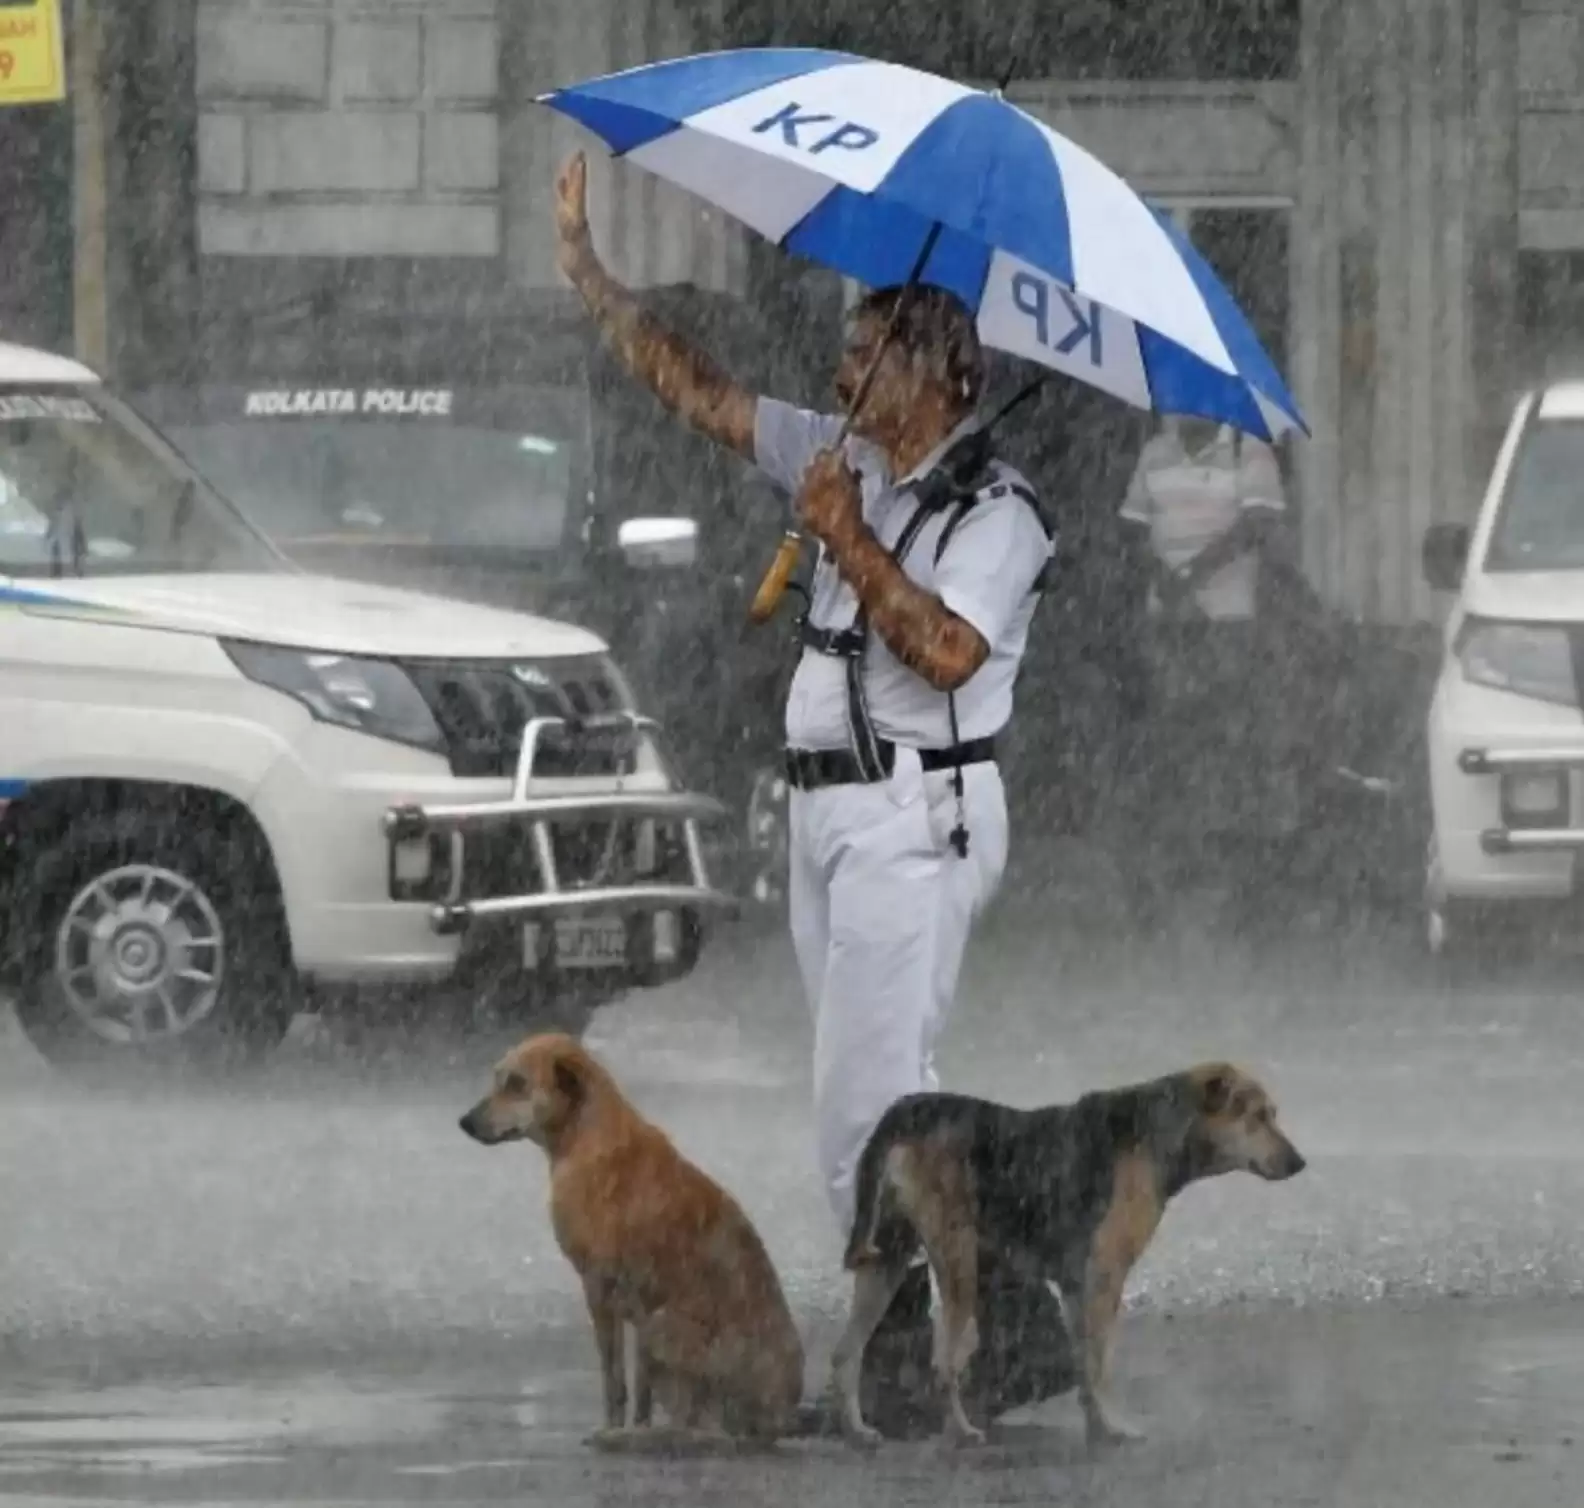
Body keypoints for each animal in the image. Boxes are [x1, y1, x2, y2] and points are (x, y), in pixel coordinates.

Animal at [459, 1032, 804, 1444]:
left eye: (517, 1084)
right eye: (498, 1078)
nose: (464, 1122)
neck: (586, 1136)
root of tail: (776, 1419)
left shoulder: (599, 1288)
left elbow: (614, 1379)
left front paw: (611, 1427)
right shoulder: (634, 1308)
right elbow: (640, 1391)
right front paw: (634, 1425)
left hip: (660, 1328)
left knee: (697, 1423)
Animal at [823, 1058, 1305, 1450]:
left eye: (1272, 1114)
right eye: (1257, 1116)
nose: (1299, 1163)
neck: (1160, 1132)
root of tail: (908, 1110)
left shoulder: (1077, 1286)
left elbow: (1084, 1367)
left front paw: (1098, 1427)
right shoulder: (1105, 1278)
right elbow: (1099, 1364)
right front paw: (1116, 1428)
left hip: (887, 1258)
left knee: (846, 1353)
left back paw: (857, 1431)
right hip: (958, 1259)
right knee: (945, 1363)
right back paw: (961, 1432)